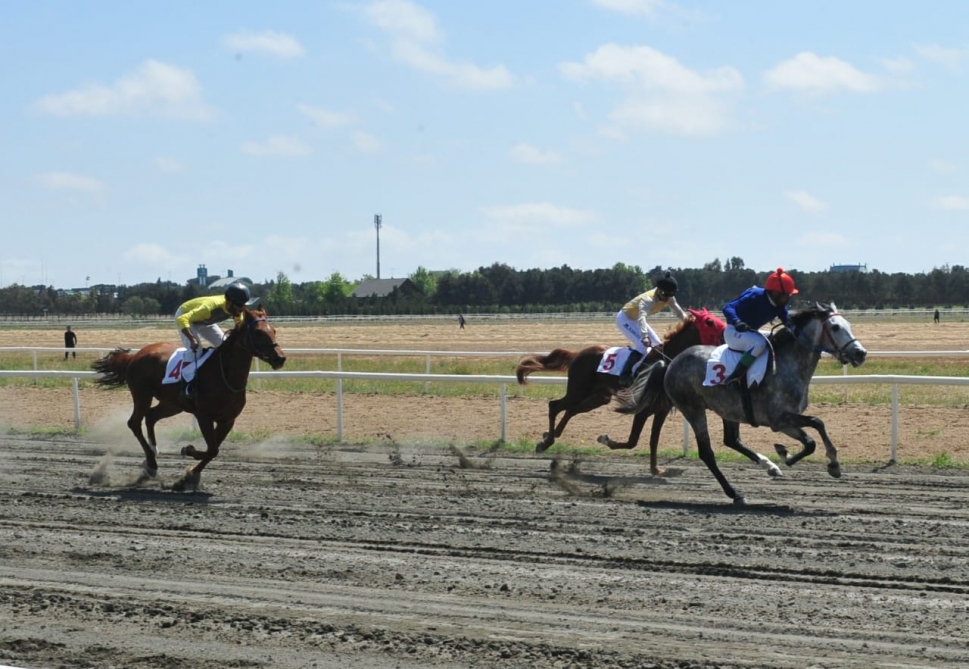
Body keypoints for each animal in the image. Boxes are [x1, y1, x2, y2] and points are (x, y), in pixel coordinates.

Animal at [91, 306, 286, 490]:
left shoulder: (227, 420)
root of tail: (134, 356)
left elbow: (214, 450)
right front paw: (188, 452)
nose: (280, 358)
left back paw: (152, 454)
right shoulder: (204, 416)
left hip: (172, 404)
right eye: (258, 332)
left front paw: (190, 475)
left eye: (274, 330)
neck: (225, 374)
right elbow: (212, 449)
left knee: (151, 416)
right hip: (142, 394)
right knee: (134, 422)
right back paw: (152, 464)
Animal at [515, 308, 726, 475]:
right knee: (555, 406)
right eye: (710, 322)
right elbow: (633, 440)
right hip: (578, 390)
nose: (728, 333)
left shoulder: (661, 410)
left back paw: (551, 436)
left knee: (571, 410)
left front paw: (655, 469)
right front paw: (605, 439)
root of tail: (577, 354)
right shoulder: (643, 409)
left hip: (598, 396)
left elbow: (653, 440)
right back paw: (546, 442)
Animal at [641, 302, 867, 505]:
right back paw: (735, 494)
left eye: (848, 324)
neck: (787, 365)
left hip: (728, 409)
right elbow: (815, 427)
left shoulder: (785, 421)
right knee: (707, 452)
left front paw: (790, 455)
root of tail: (672, 362)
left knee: (732, 440)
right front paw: (821, 461)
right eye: (835, 327)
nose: (861, 353)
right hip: (693, 409)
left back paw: (769, 467)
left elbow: (812, 436)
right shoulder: (779, 419)